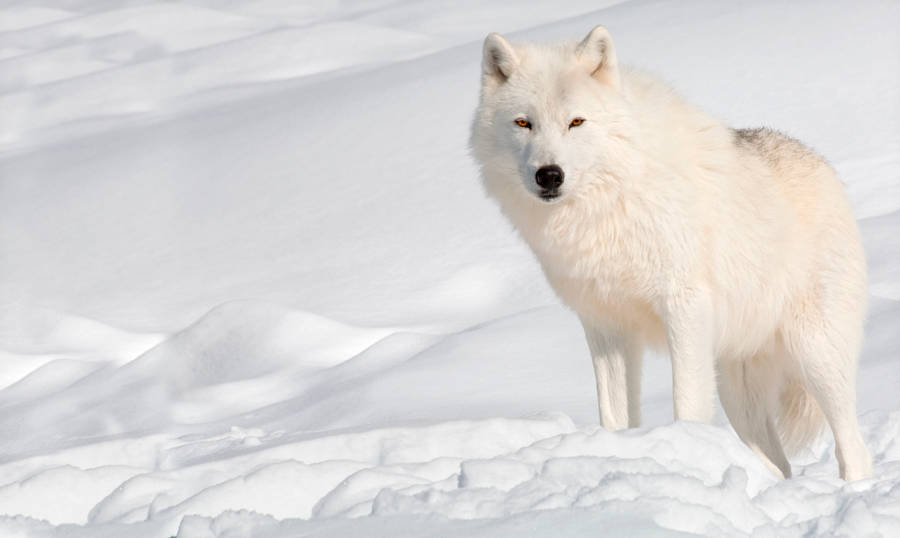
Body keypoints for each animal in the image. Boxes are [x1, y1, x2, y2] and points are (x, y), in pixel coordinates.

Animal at [469, 26, 872, 481]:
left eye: (576, 122)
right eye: (524, 123)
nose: (549, 175)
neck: (609, 204)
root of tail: (826, 169)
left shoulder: (684, 306)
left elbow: (687, 403)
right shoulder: (605, 326)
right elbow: (615, 415)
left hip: (816, 356)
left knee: (854, 449)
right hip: (738, 392)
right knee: (778, 465)